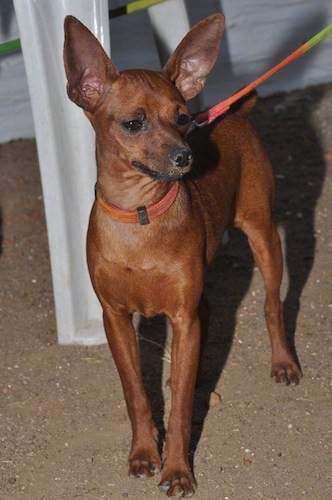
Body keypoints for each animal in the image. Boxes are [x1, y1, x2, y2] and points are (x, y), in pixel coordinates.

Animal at [63, 13, 300, 498]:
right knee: (207, 316)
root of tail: (231, 115)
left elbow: (179, 410)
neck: (140, 217)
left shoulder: (180, 316)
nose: (185, 157)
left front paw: (176, 470)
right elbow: (136, 393)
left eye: (183, 117)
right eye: (133, 123)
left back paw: (283, 361)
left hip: (263, 236)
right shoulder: (117, 319)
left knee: (271, 304)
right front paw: (142, 454)